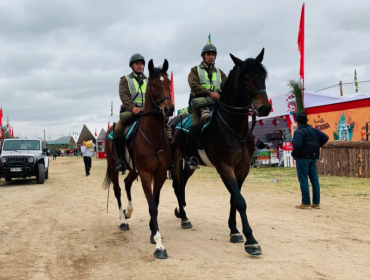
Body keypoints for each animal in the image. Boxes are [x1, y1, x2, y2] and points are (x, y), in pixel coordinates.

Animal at [103, 58, 174, 258]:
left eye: (168, 82)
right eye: (154, 84)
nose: (169, 108)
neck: (154, 136)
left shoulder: (159, 174)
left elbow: (155, 203)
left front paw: (152, 233)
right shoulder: (145, 174)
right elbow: (152, 206)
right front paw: (159, 245)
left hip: (134, 170)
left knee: (127, 183)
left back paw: (128, 211)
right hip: (115, 166)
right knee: (118, 190)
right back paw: (123, 220)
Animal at [171, 48, 272, 256]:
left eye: (263, 76)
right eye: (246, 77)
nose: (265, 108)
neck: (236, 130)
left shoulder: (242, 169)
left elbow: (235, 199)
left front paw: (234, 231)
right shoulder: (225, 168)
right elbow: (240, 200)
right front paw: (251, 240)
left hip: (190, 164)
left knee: (183, 183)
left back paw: (183, 214)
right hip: (175, 160)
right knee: (177, 185)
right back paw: (184, 218)